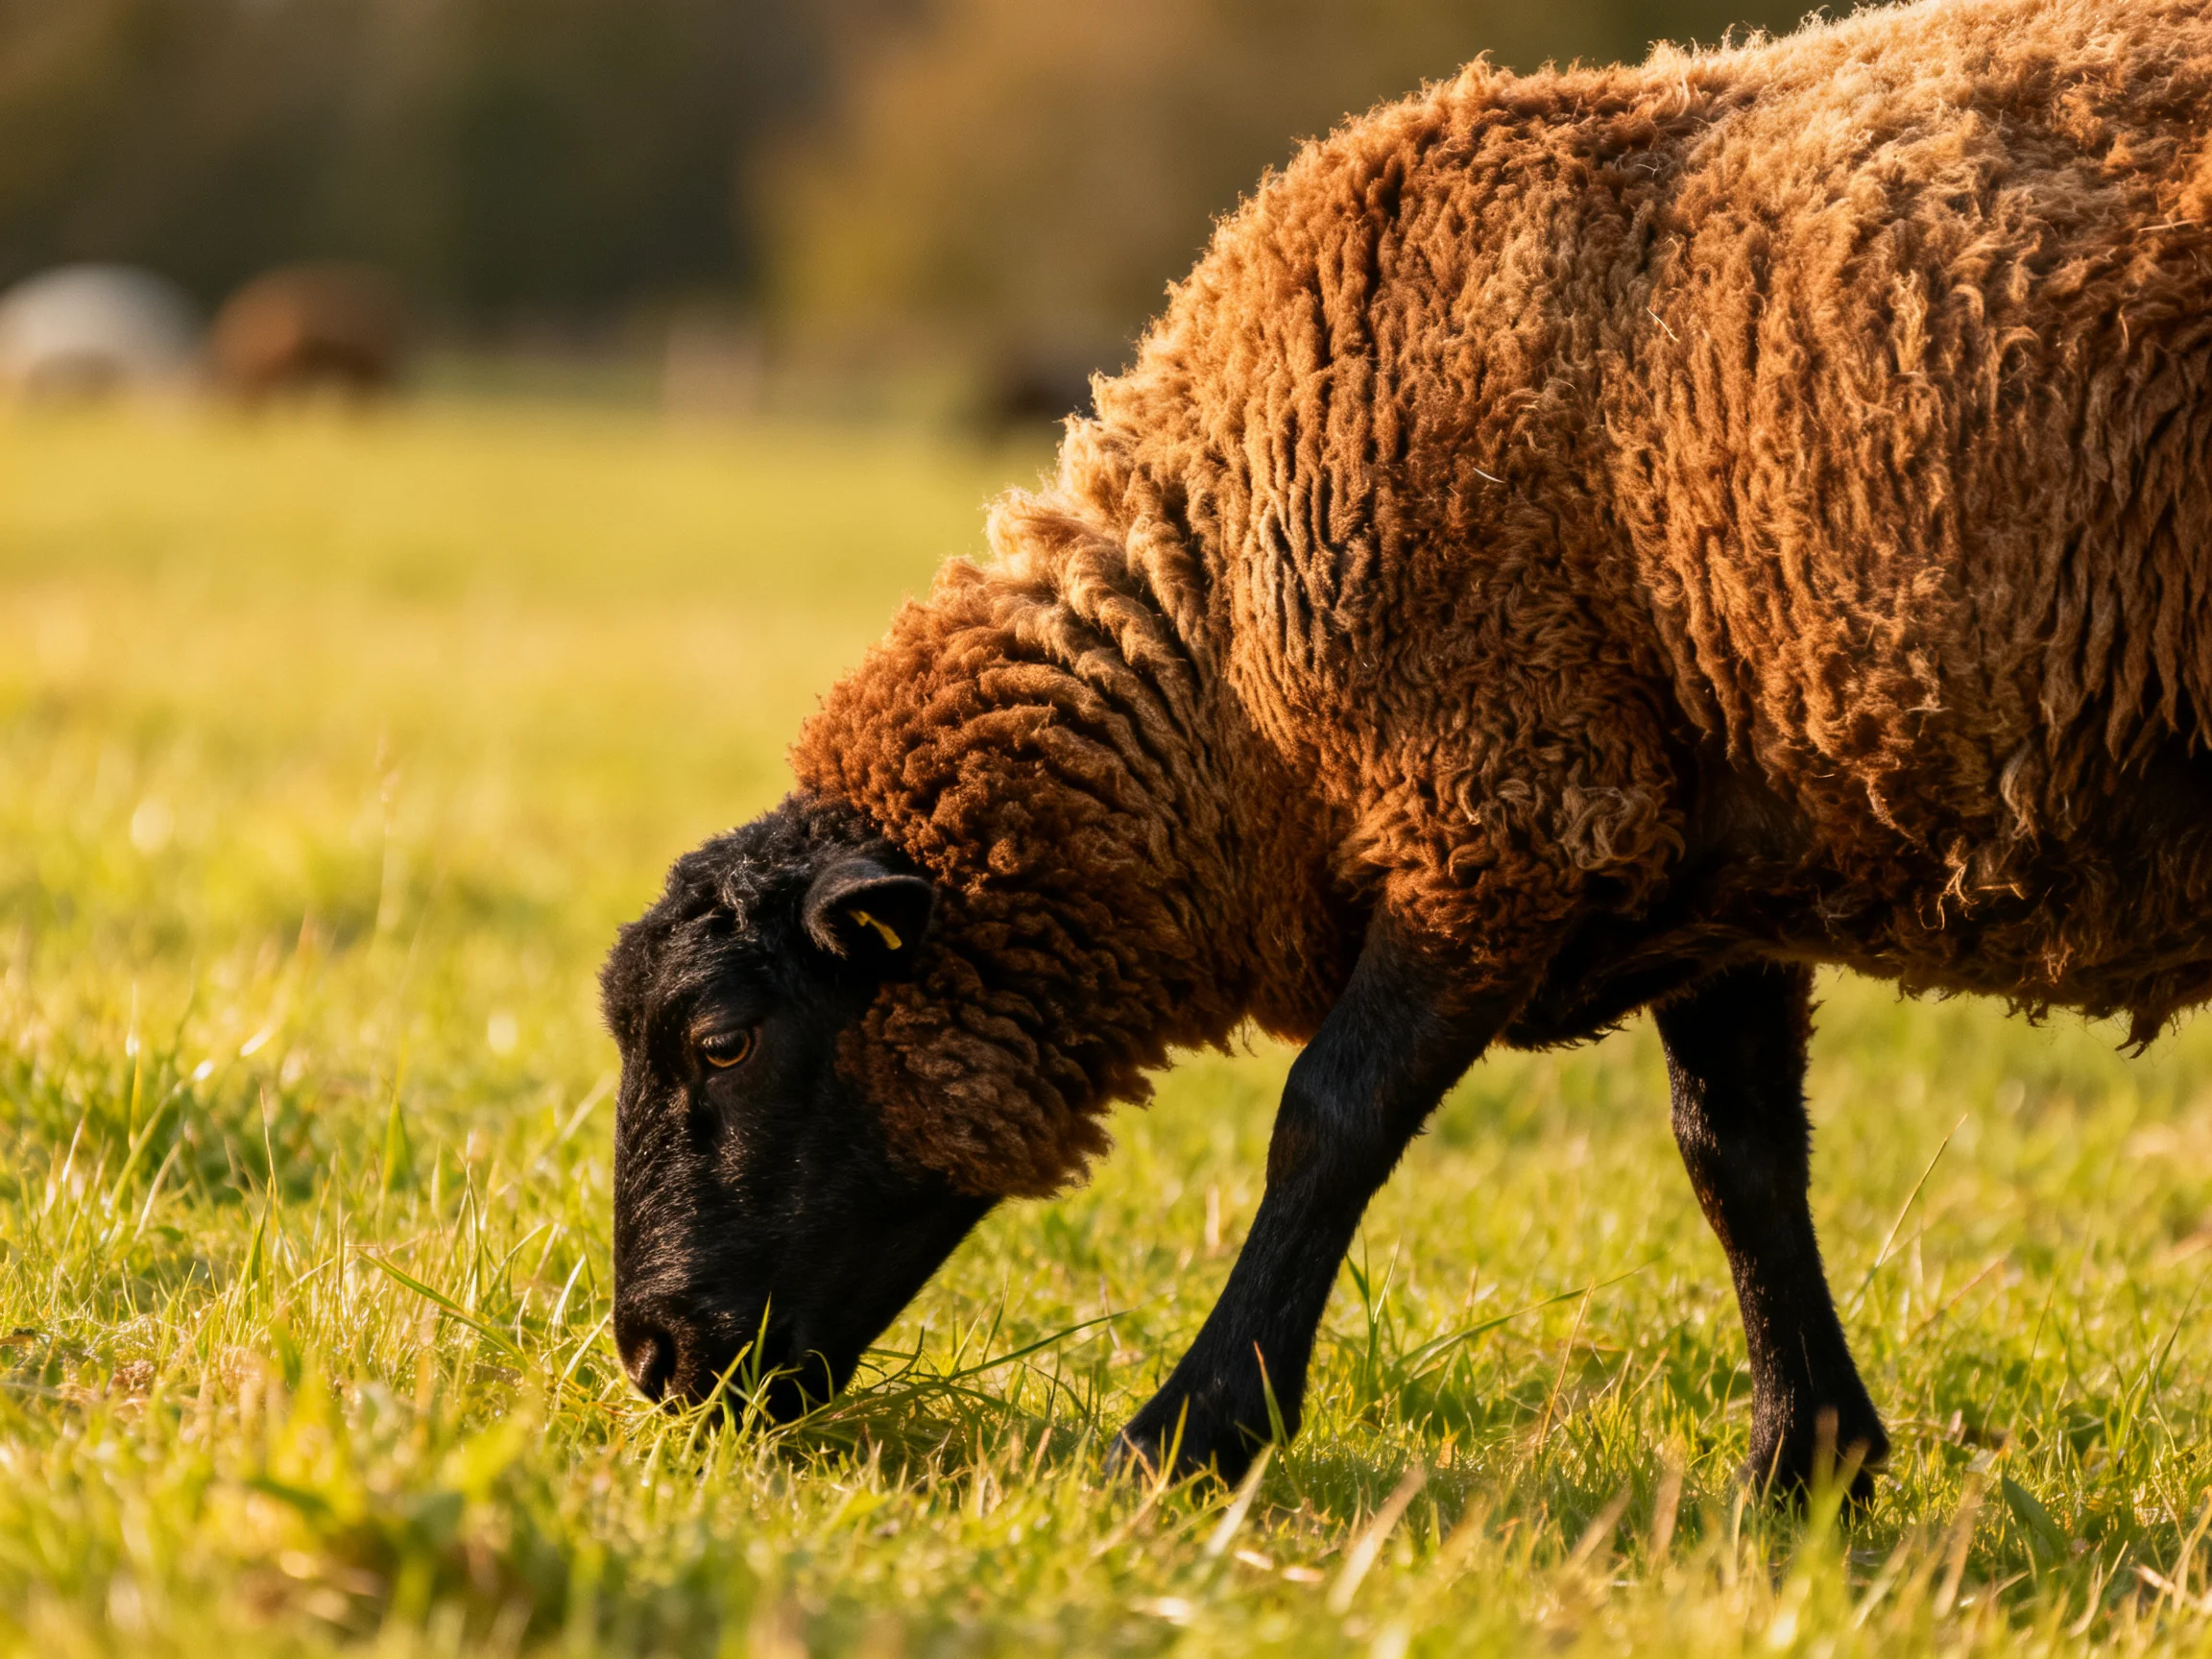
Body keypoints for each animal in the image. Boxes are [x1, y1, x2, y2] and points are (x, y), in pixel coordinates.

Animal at [603, 0, 2212, 1495]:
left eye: (722, 1041)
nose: (654, 1359)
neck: (1226, 657)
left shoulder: (1503, 807)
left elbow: (1328, 1117)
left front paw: (1188, 1437)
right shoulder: (1713, 856)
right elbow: (1738, 1151)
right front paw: (1802, 1465)